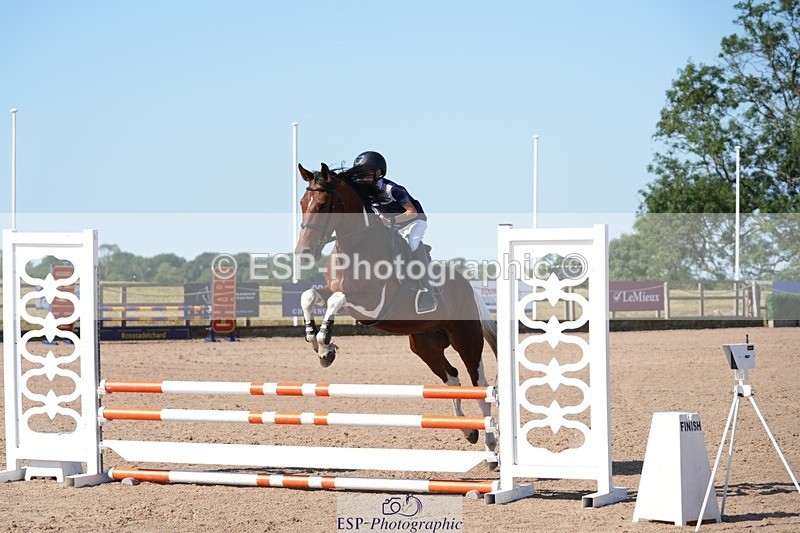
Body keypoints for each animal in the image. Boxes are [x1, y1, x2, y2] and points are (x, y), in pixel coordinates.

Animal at [294, 162, 498, 456]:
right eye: (302, 203)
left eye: (322, 204)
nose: (303, 252)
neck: (354, 247)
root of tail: (468, 287)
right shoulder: (332, 290)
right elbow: (309, 296)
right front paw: (317, 343)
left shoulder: (372, 305)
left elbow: (336, 300)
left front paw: (325, 343)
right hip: (424, 344)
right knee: (452, 378)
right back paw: (467, 430)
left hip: (466, 339)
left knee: (478, 383)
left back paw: (491, 445)